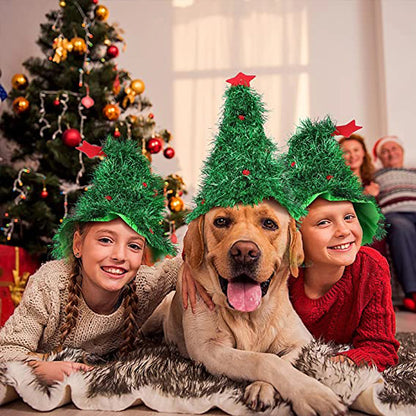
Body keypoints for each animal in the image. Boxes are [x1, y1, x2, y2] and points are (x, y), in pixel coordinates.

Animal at [145, 199, 346, 416]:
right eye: (221, 221)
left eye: (269, 223)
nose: (244, 252)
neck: (250, 316)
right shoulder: (209, 348)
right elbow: (264, 359)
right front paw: (313, 394)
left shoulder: (303, 341)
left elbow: (282, 359)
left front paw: (263, 388)